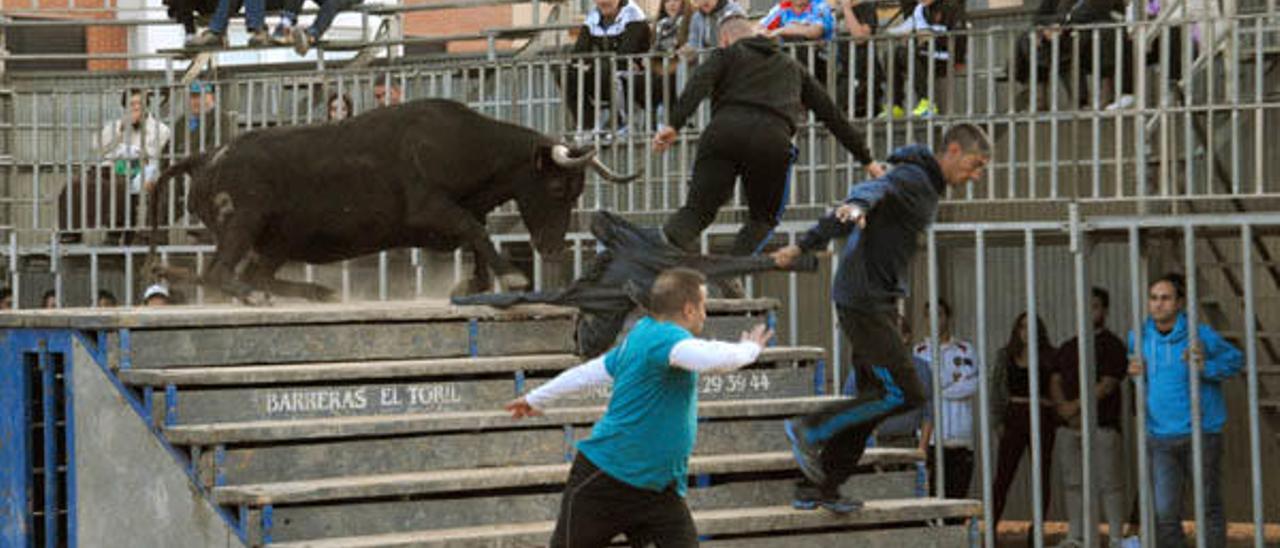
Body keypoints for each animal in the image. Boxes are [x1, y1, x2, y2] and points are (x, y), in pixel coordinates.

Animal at [147, 99, 637, 303]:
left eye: (577, 192)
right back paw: (257, 297)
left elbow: (476, 237)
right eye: (557, 189)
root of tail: (207, 155)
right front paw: (512, 277)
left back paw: (317, 292)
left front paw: (474, 283)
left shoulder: (461, 213)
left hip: (277, 242)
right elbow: (474, 229)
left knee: (254, 273)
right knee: (219, 273)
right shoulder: (431, 208)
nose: (552, 248)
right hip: (243, 221)